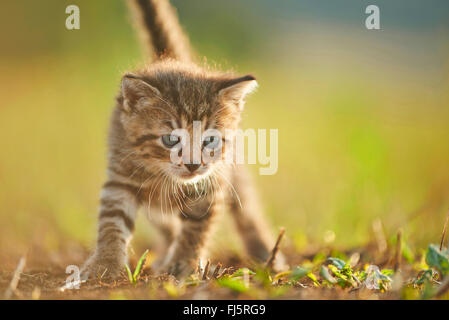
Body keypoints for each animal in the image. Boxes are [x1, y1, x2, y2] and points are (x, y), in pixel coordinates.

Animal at [81, 0, 286, 280]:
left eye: (210, 141)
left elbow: (196, 227)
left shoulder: (210, 182)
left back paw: (266, 254)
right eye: (170, 140)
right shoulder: (120, 175)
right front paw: (105, 263)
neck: (163, 175)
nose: (192, 164)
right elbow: (112, 221)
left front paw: (182, 264)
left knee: (247, 211)